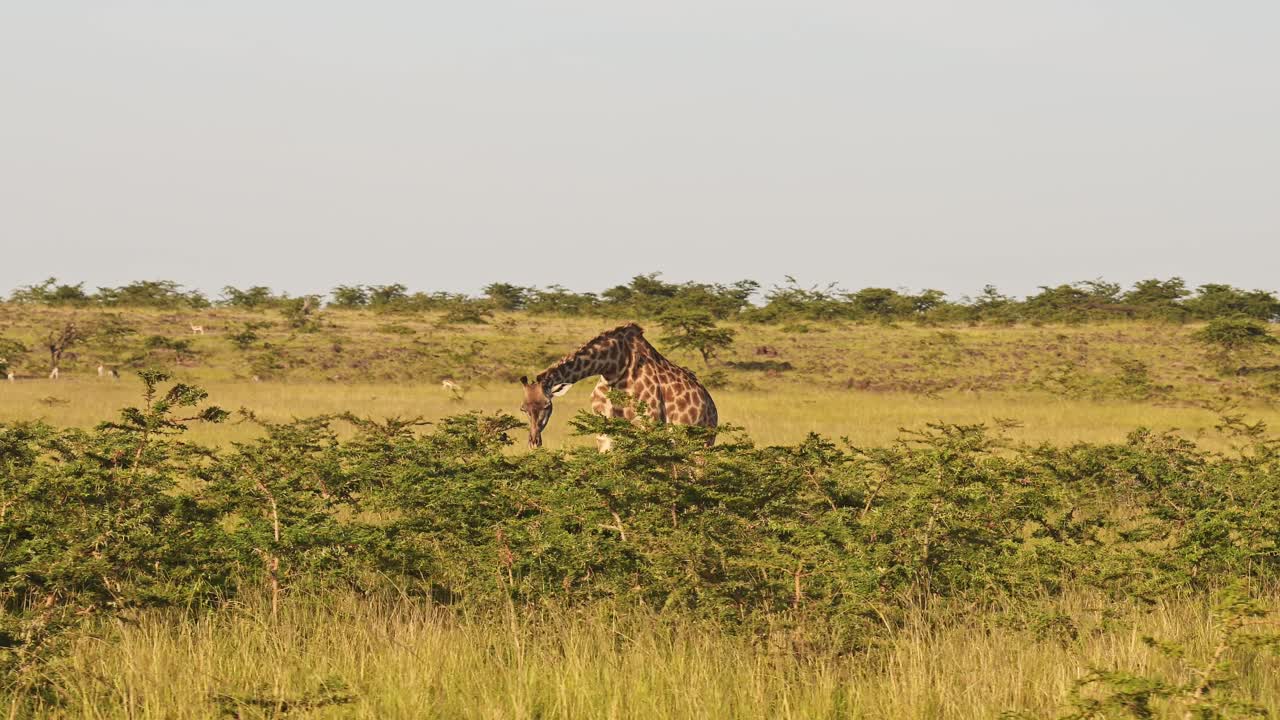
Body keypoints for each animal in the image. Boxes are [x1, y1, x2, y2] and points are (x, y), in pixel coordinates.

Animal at [518, 322, 717, 449]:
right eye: (523, 409)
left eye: (547, 406)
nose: (534, 442)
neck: (613, 367)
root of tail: (712, 408)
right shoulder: (604, 430)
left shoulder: (648, 424)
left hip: (700, 442)